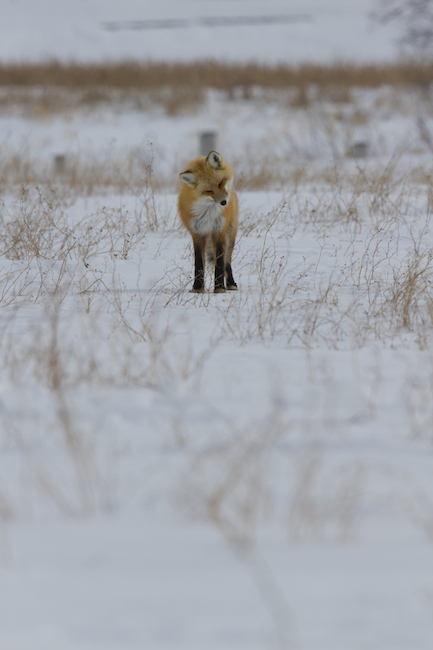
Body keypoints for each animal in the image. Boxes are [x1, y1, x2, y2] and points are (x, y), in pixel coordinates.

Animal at [178, 150, 238, 293]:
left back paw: (230, 283)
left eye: (221, 183)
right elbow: (199, 263)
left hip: (230, 235)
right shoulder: (197, 233)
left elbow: (220, 261)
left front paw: (219, 287)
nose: (223, 202)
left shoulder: (219, 231)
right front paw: (198, 287)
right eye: (208, 191)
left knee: (227, 260)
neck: (209, 213)